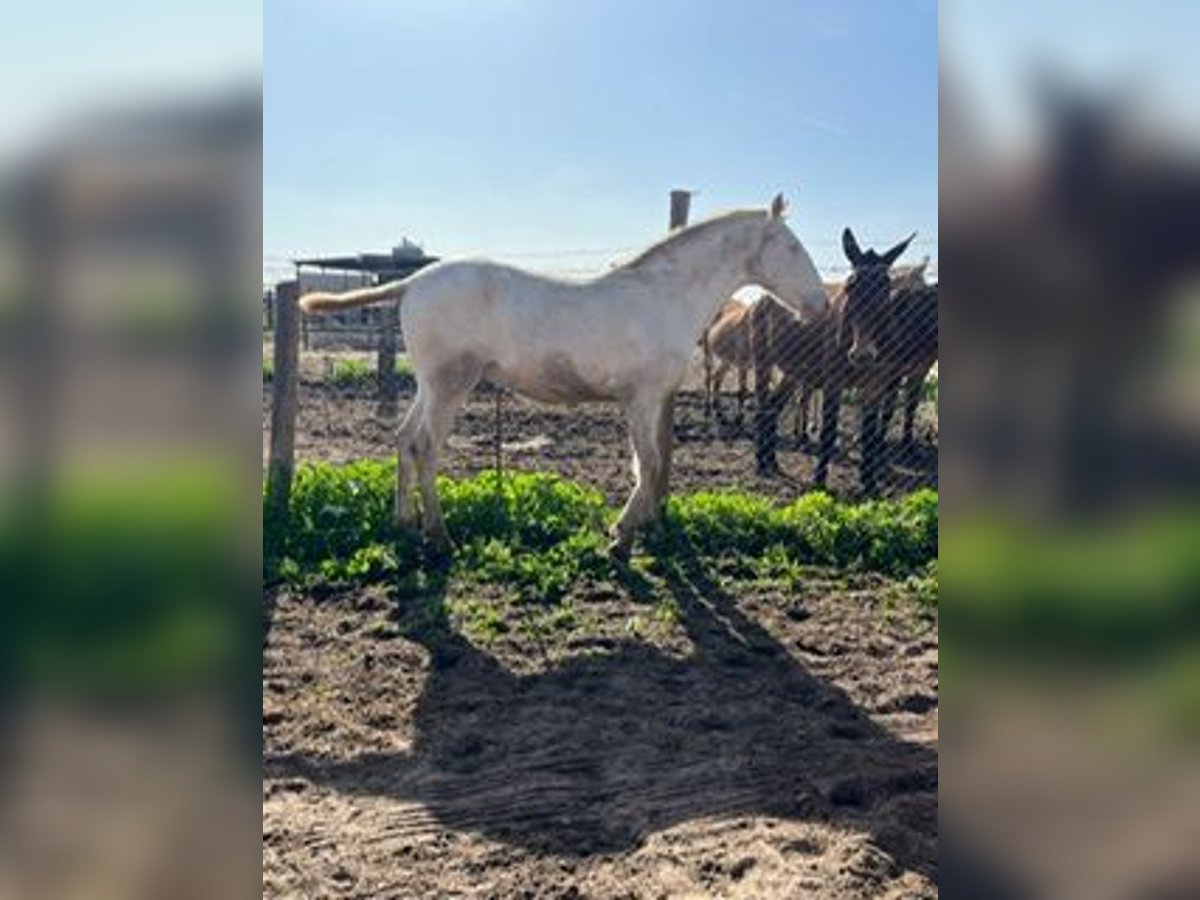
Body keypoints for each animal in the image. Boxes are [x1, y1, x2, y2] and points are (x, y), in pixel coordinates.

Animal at [300, 195, 830, 556]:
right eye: (791, 246)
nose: (821, 306)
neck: (664, 298)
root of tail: (411, 281)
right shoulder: (640, 398)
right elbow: (650, 463)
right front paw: (621, 539)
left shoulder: (649, 400)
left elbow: (647, 464)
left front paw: (633, 531)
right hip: (451, 385)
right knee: (425, 447)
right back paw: (440, 536)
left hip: (428, 385)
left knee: (404, 439)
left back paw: (405, 526)